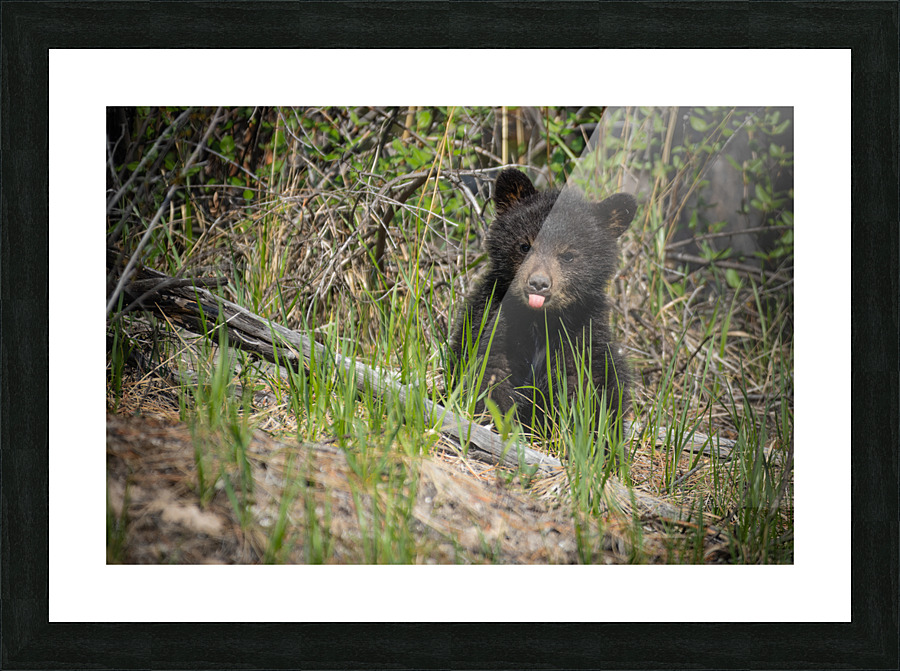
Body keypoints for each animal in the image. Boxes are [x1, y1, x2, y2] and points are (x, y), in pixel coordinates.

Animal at [448, 168, 637, 434]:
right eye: (525, 246)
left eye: (568, 255)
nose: (538, 283)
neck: (540, 320)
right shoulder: (494, 320)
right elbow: (491, 369)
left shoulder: (582, 334)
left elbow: (584, 385)